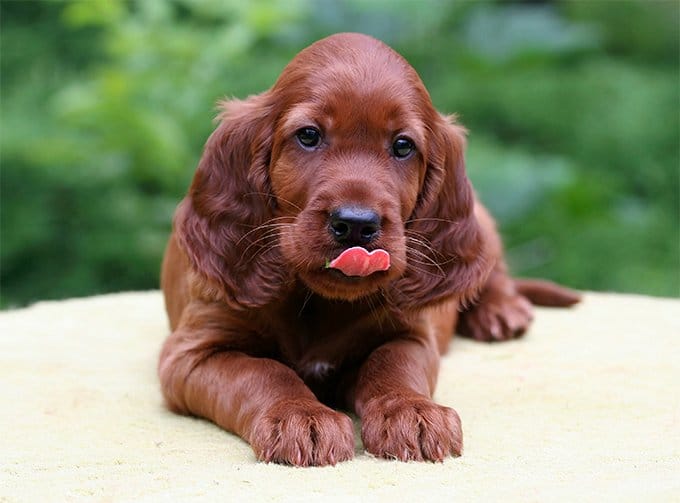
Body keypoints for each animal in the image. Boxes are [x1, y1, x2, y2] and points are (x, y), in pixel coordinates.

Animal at [161, 32, 580, 468]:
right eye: (308, 135)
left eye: (403, 146)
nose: (357, 224)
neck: (318, 300)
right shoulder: (192, 353)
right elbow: (262, 373)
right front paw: (300, 416)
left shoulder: (412, 336)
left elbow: (391, 366)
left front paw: (411, 411)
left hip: (481, 223)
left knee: (491, 269)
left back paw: (500, 309)